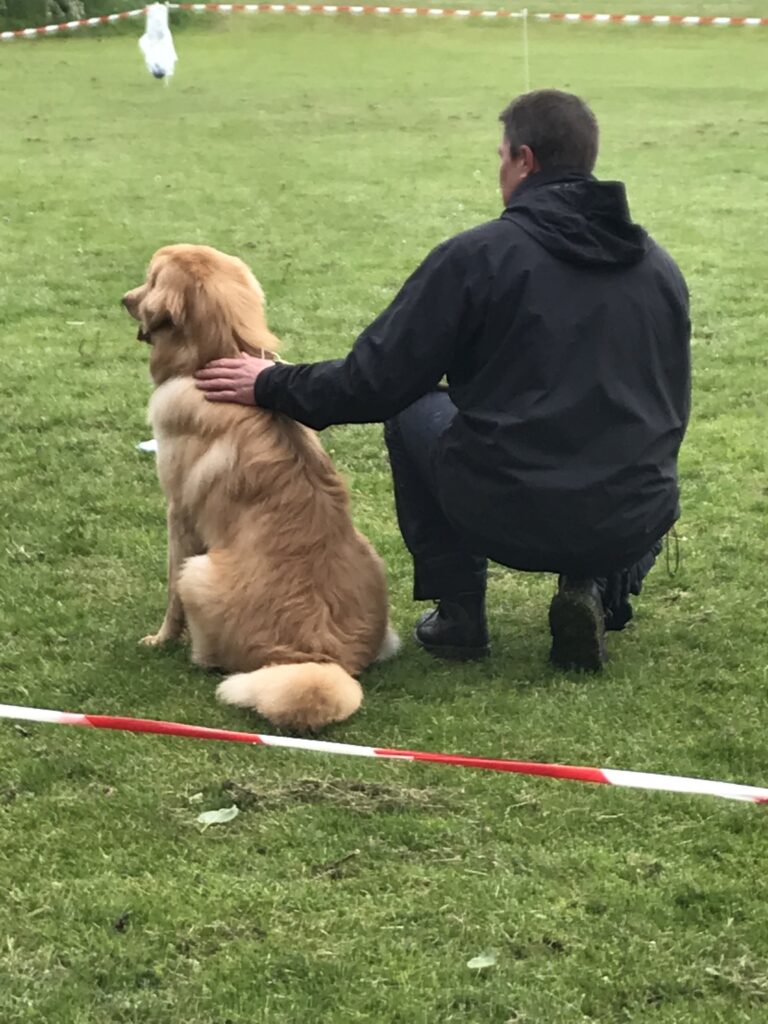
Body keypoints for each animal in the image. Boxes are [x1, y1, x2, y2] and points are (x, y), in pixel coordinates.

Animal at [123, 243, 399, 733]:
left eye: (150, 279)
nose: (124, 299)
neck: (216, 355)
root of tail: (322, 658)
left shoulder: (178, 514)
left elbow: (170, 597)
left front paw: (160, 639)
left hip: (199, 572)